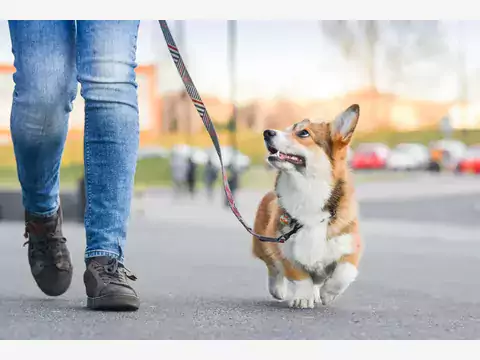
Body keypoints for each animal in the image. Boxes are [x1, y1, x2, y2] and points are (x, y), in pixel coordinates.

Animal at [253, 104, 362, 310]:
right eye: (287, 129)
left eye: (303, 133)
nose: (267, 132)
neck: (307, 191)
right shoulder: (285, 248)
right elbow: (300, 276)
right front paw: (302, 298)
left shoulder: (350, 247)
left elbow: (344, 273)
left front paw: (328, 294)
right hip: (262, 243)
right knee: (272, 267)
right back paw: (278, 289)